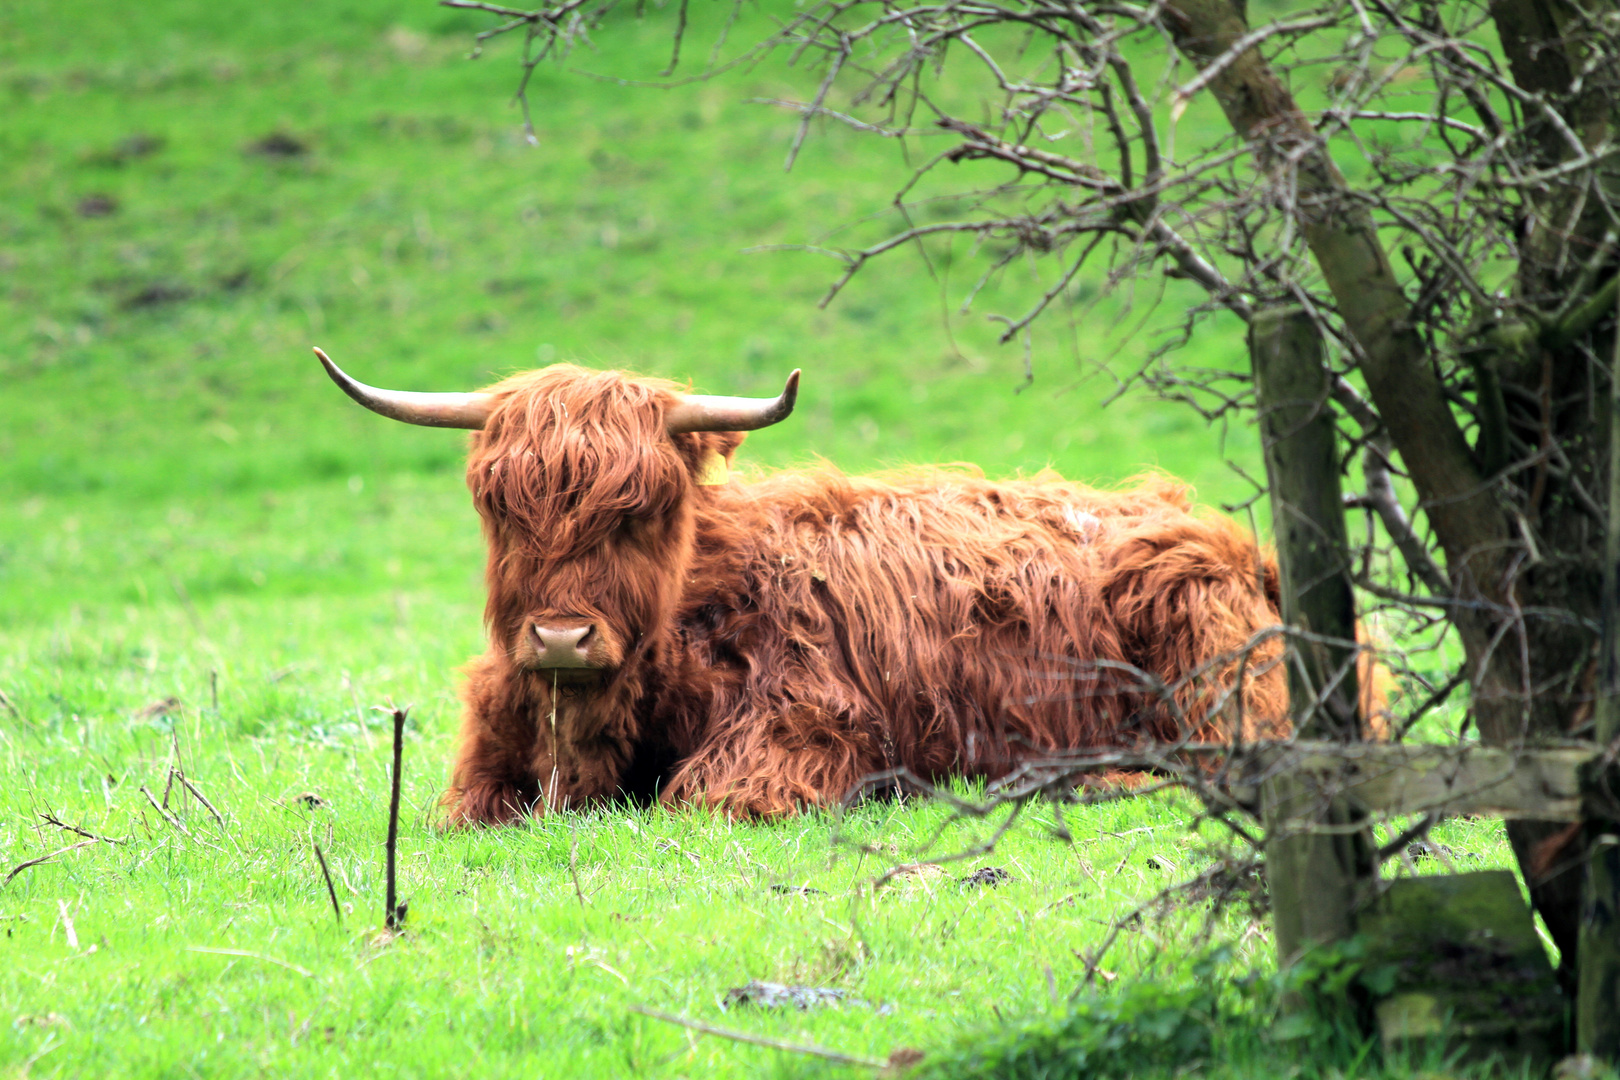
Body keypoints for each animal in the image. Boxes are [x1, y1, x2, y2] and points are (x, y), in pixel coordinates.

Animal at [315, 351, 1289, 822]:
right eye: (498, 506)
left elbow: (699, 800)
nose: (560, 639)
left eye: (643, 508)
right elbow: (469, 811)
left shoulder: (800, 734)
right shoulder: (484, 765)